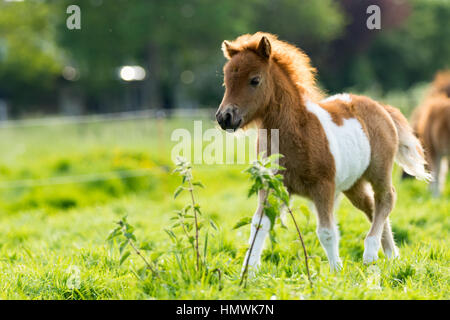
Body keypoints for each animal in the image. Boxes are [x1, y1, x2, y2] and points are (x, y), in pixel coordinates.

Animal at [216, 33, 430, 272]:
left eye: (254, 80)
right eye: (226, 81)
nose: (225, 117)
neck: (298, 130)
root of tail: (381, 107)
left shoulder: (323, 187)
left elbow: (326, 232)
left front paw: (336, 272)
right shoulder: (271, 184)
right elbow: (259, 225)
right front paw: (248, 272)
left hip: (379, 171)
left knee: (386, 199)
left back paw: (370, 253)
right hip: (353, 184)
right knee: (371, 206)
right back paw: (392, 256)